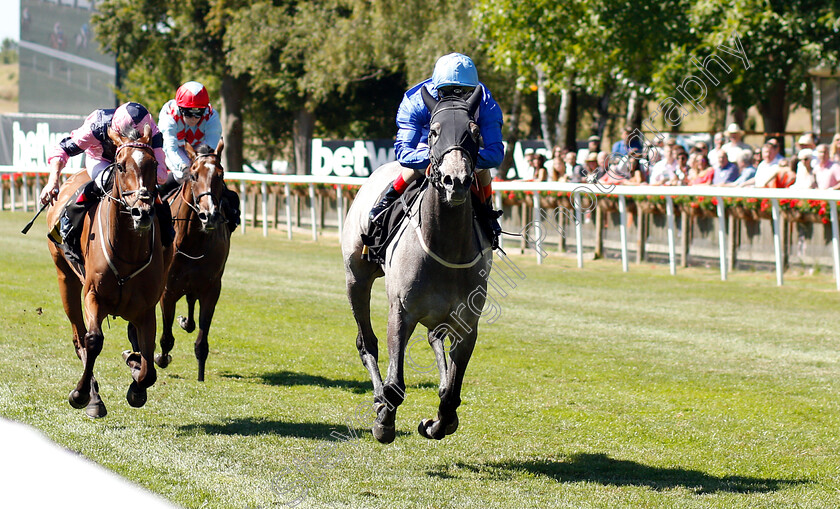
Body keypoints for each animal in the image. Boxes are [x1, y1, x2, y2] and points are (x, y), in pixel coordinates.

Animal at [46, 124, 171, 416]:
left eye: (153, 164)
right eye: (121, 166)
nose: (142, 211)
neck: (128, 252)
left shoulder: (146, 309)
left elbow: (148, 367)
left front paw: (137, 384)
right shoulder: (93, 295)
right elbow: (92, 340)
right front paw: (81, 394)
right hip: (65, 279)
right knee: (79, 338)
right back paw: (93, 397)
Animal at [155, 141, 231, 380]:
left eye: (220, 175)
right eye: (194, 176)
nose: (209, 215)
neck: (193, 242)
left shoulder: (211, 288)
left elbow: (202, 340)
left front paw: (201, 376)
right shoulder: (167, 290)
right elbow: (166, 338)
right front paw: (161, 358)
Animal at [338, 85, 492, 442]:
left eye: (474, 132)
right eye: (433, 131)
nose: (455, 180)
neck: (445, 247)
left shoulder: (468, 322)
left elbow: (451, 393)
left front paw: (438, 422)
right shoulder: (401, 311)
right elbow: (395, 383)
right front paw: (384, 420)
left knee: (435, 338)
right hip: (356, 277)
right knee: (366, 342)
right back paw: (378, 397)